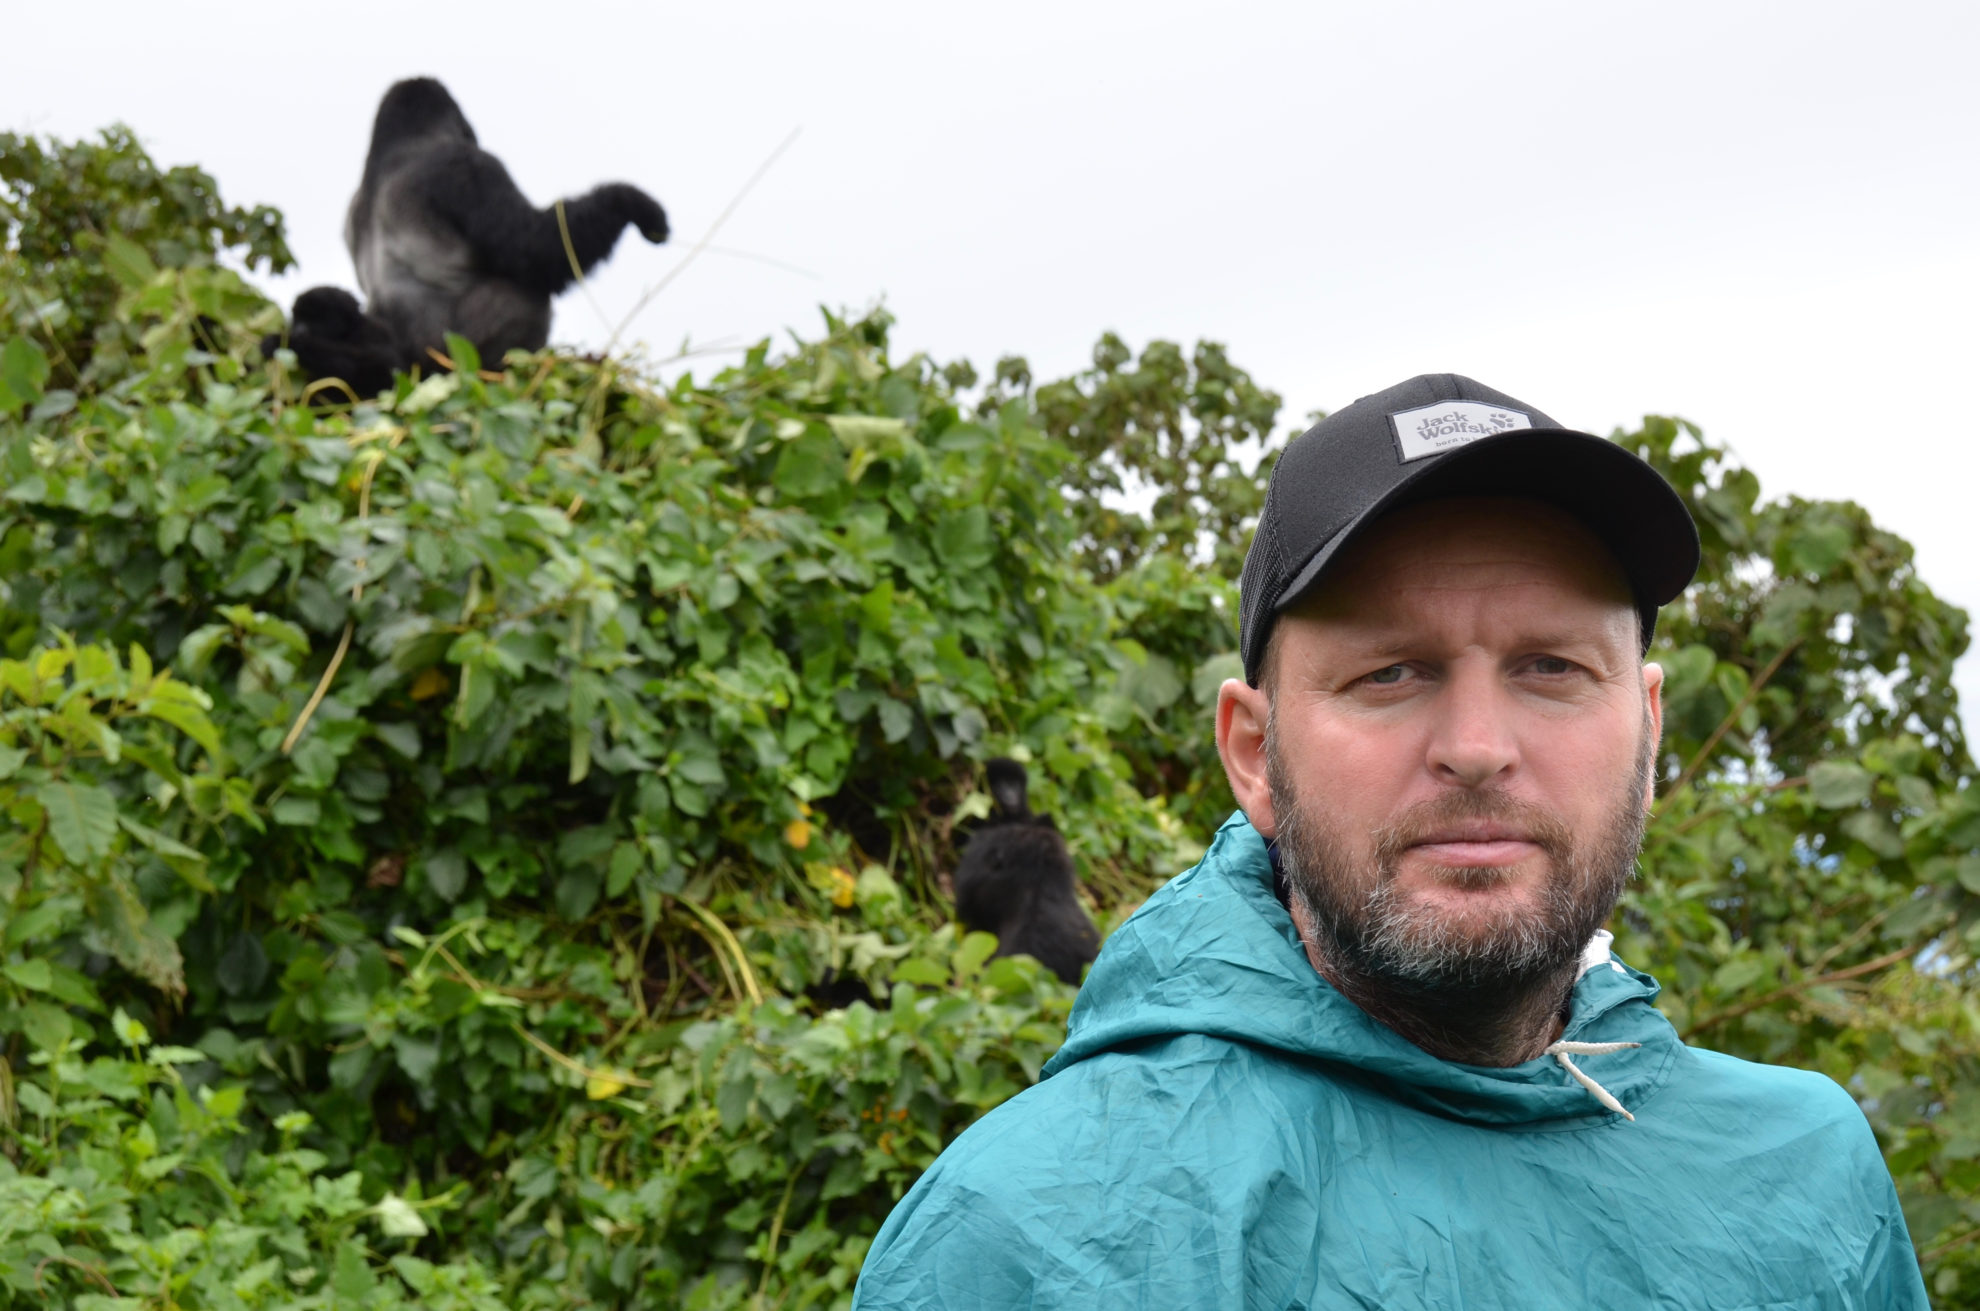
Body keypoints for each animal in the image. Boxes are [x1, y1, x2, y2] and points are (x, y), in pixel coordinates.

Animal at [267, 79, 669, 398]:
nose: (473, 131)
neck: (391, 149)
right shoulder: (468, 165)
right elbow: (534, 249)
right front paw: (627, 200)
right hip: (448, 366)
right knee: (523, 294)